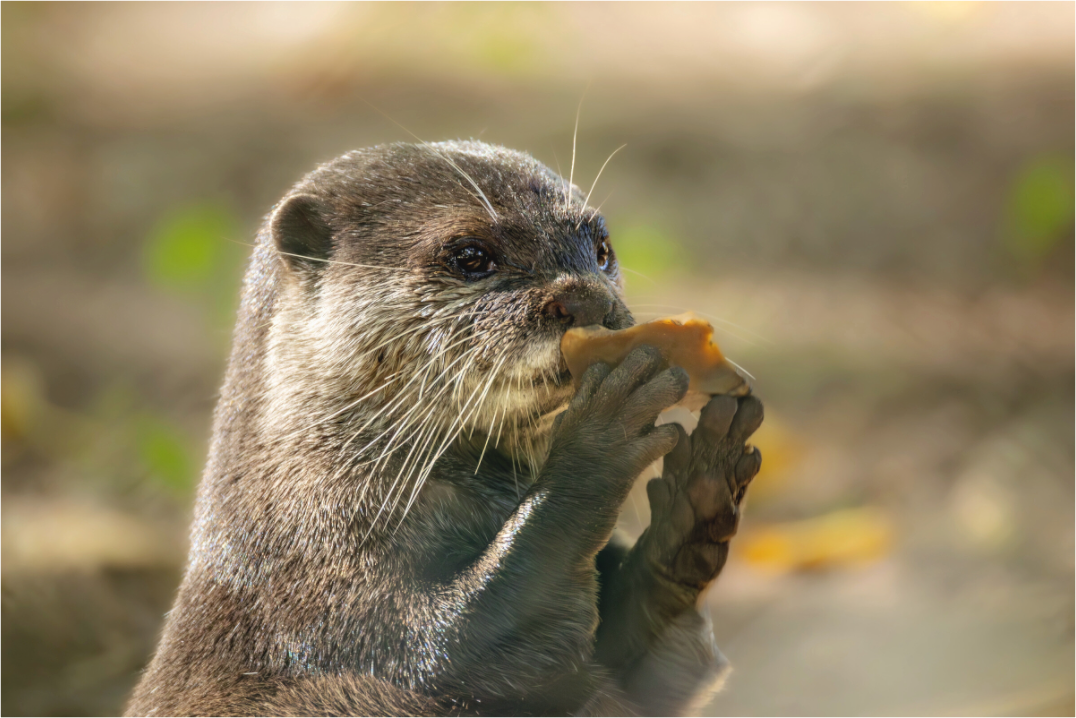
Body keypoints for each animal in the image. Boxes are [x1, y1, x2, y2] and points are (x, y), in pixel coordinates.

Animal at [127, 141, 763, 716]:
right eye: (471, 255)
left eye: (602, 248)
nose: (586, 298)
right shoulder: (321, 597)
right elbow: (453, 645)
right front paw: (601, 437)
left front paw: (698, 492)